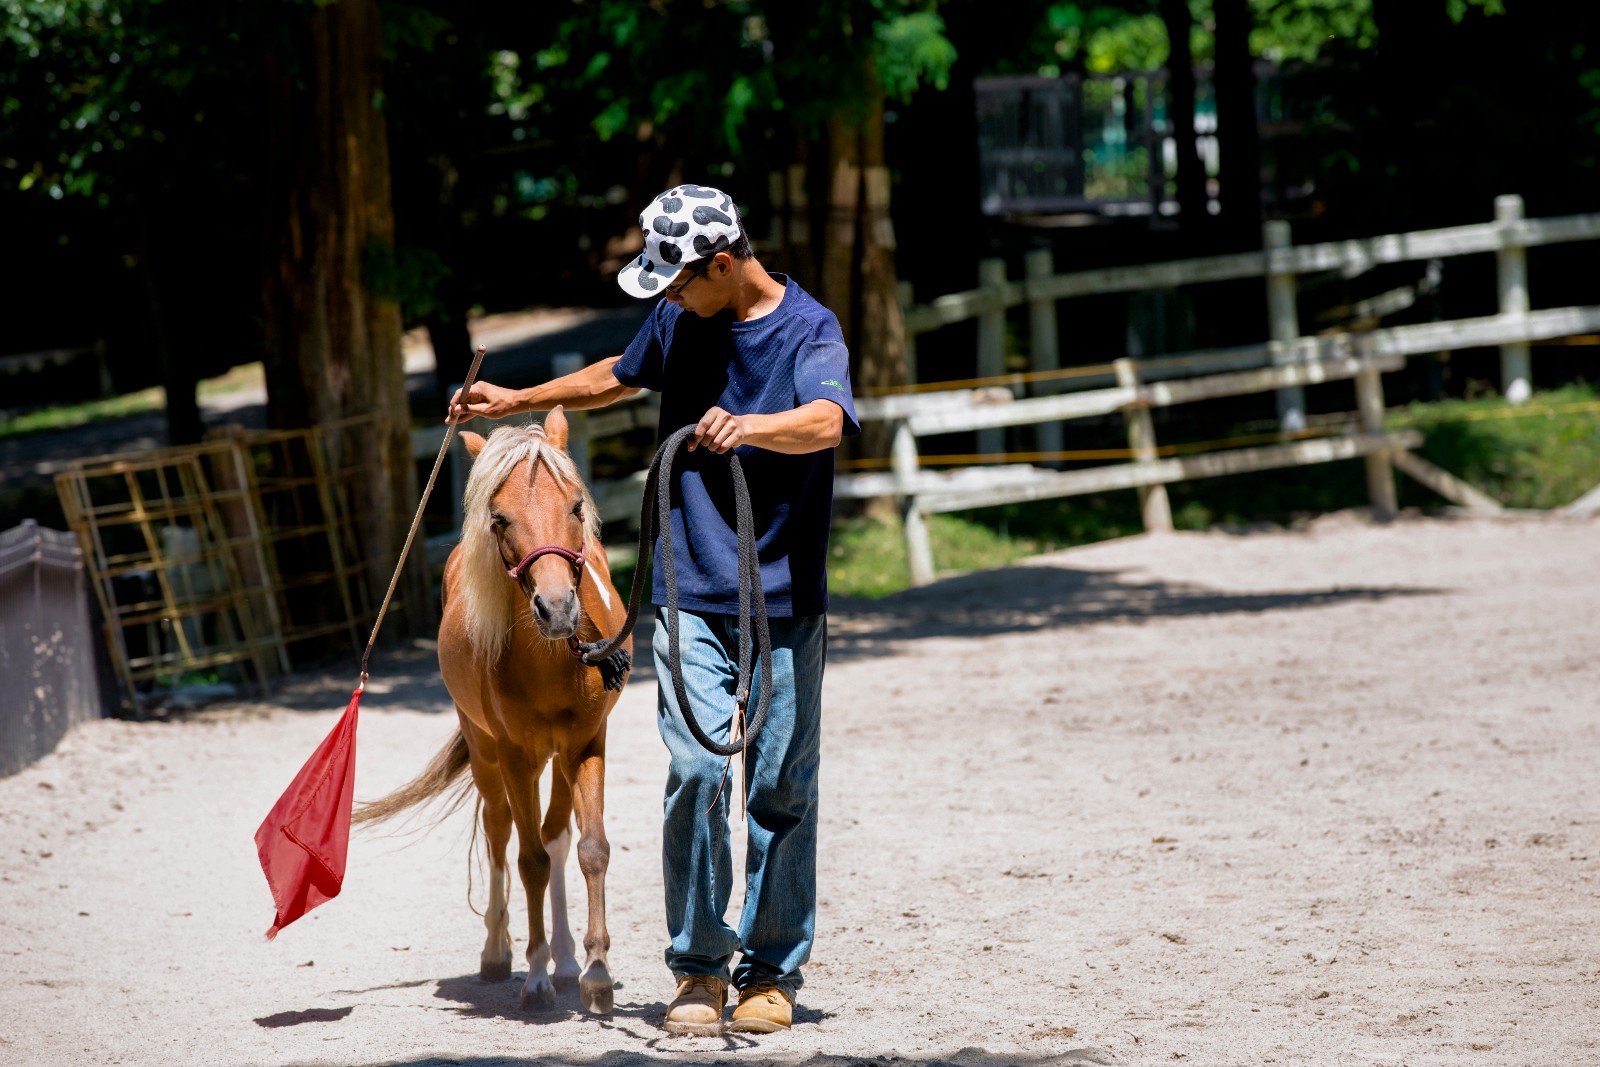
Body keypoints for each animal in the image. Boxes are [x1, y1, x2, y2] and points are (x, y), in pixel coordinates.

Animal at [353, 412, 627, 1017]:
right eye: (499, 519)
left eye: (576, 507)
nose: (557, 609)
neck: (550, 661)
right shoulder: (516, 755)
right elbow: (528, 862)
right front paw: (535, 978)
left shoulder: (586, 742)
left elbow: (591, 849)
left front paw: (595, 971)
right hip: (483, 748)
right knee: (502, 833)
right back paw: (500, 953)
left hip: (557, 757)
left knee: (556, 836)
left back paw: (567, 960)